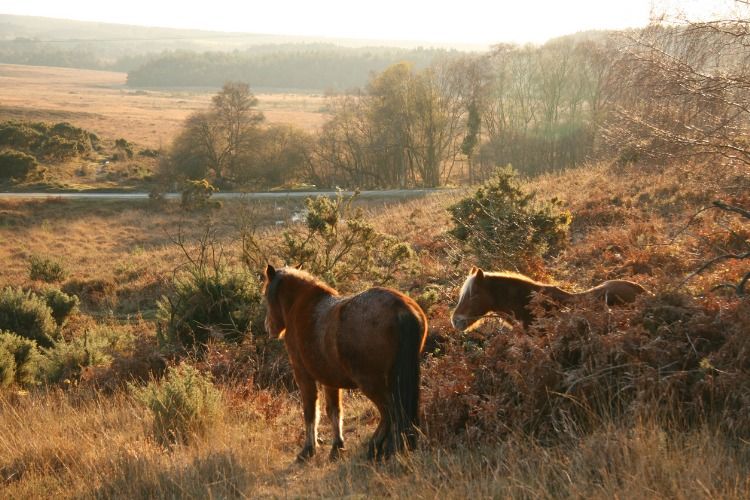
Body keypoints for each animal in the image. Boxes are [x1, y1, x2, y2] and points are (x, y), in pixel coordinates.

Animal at [262, 265, 428, 462]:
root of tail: (401, 309)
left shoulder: (303, 375)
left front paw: (308, 449)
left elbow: (311, 412)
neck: (301, 307)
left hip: (371, 383)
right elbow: (334, 411)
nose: (269, 328)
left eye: (265, 294)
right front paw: (337, 446)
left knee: (390, 412)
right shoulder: (330, 380)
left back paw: (377, 447)